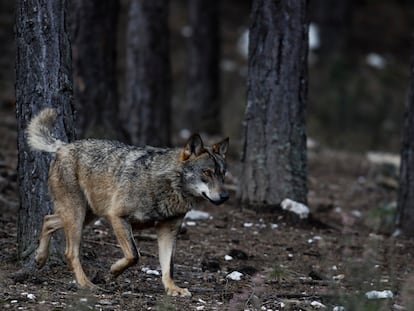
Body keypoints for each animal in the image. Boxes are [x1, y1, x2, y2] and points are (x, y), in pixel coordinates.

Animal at [26, 109, 230, 298]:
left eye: (222, 174)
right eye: (207, 172)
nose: (225, 196)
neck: (168, 185)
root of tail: (63, 146)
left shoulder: (168, 230)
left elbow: (168, 267)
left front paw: (173, 289)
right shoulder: (117, 216)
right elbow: (134, 255)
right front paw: (113, 271)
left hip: (87, 216)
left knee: (48, 220)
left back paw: (39, 258)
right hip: (78, 215)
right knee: (70, 251)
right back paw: (85, 284)